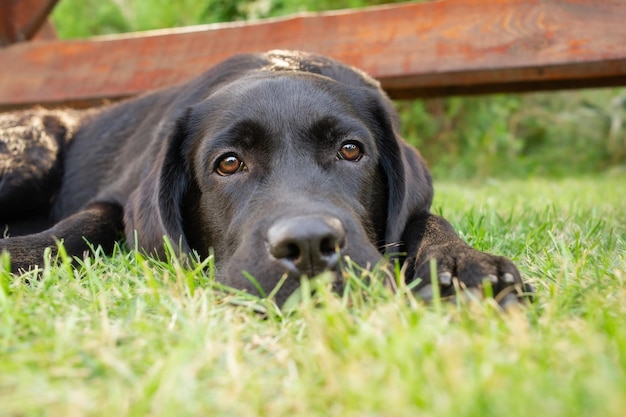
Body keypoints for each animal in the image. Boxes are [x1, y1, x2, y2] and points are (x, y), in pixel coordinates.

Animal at [0, 50, 528, 304]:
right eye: (229, 163)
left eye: (351, 150)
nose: (309, 245)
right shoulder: (115, 199)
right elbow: (80, 226)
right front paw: (16, 255)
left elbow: (426, 219)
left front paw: (463, 264)